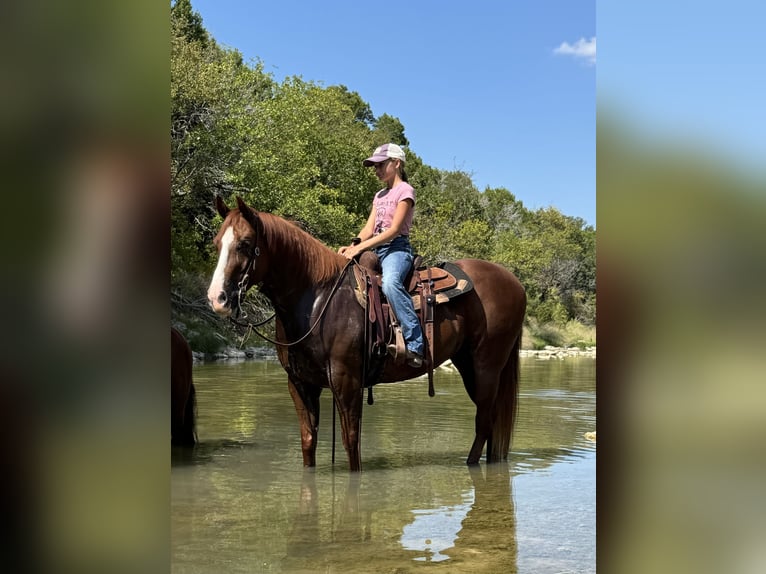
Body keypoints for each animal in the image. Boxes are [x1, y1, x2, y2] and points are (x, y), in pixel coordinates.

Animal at [206, 196, 526, 471]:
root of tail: (514, 282)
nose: (217, 298)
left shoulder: (347, 381)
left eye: (245, 244)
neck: (317, 298)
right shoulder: (299, 384)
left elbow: (351, 445)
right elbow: (308, 442)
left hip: (486, 365)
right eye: (217, 243)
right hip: (468, 364)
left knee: (484, 420)